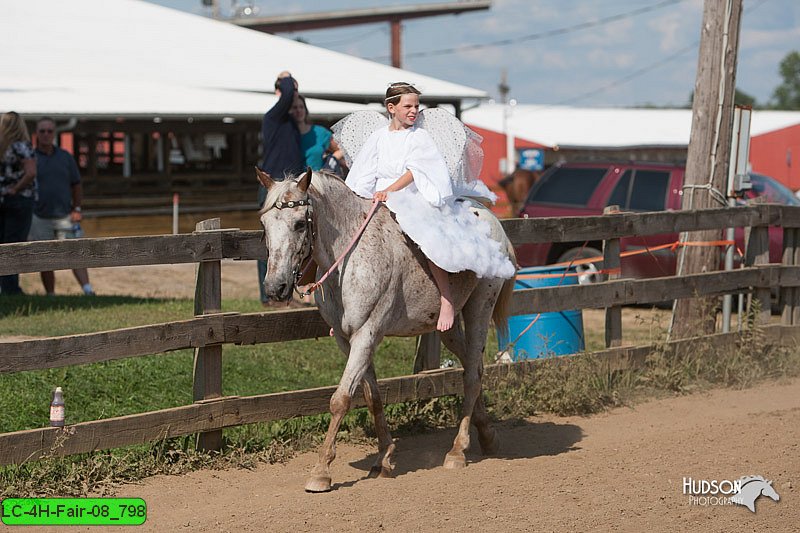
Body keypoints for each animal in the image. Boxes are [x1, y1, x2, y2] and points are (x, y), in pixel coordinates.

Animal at [258, 168, 520, 492]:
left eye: (297, 224)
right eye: (265, 225)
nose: (275, 287)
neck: (351, 258)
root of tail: (492, 221)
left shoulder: (366, 334)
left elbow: (340, 400)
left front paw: (321, 472)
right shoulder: (347, 340)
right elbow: (372, 397)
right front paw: (383, 458)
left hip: (480, 308)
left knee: (472, 374)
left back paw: (457, 451)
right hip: (447, 329)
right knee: (474, 367)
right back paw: (486, 436)